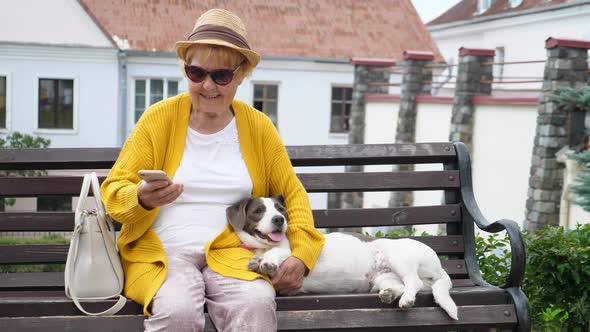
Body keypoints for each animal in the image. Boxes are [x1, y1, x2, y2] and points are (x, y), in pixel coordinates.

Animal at [229, 196, 460, 320]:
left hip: (399, 258)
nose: (279, 219)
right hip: (382, 277)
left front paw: (267, 262)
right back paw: (389, 294)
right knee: (400, 285)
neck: (260, 247)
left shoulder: (290, 252)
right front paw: (257, 263)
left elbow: (275, 253)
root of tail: (440, 268)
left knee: (413, 281)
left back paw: (406, 300)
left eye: (280, 210)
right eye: (258, 211)